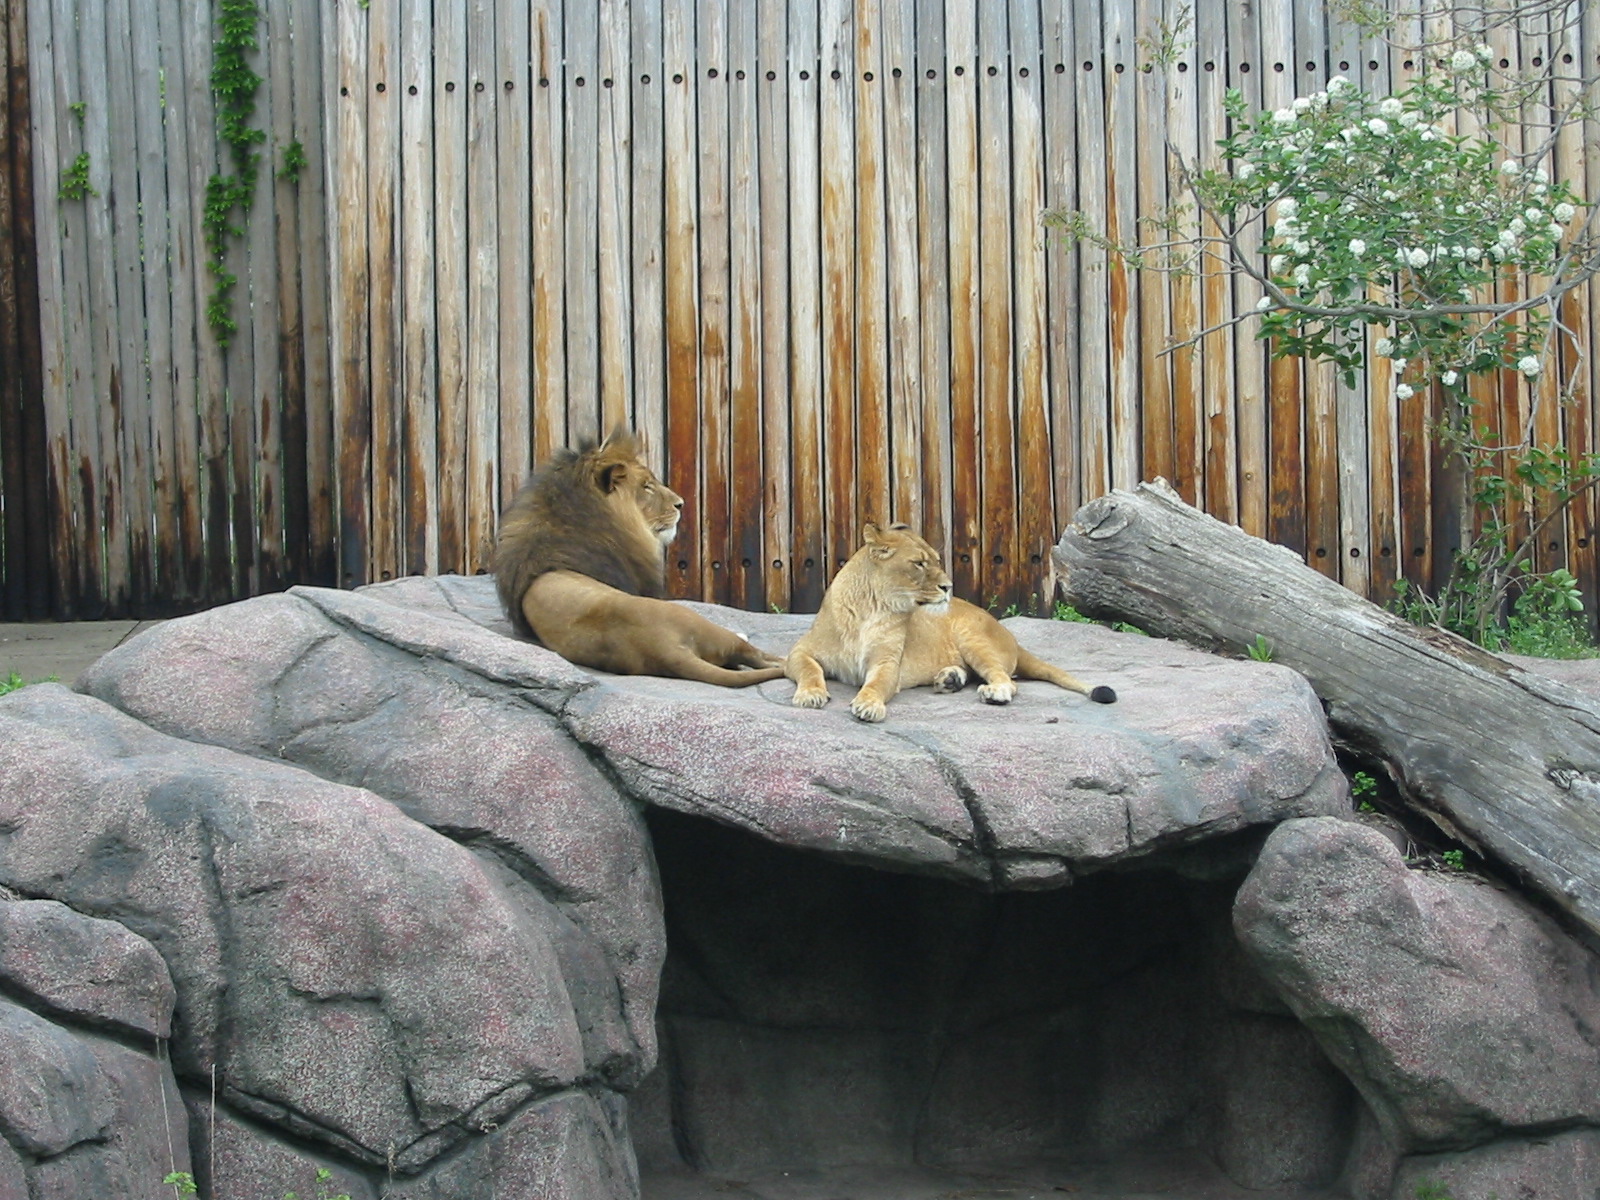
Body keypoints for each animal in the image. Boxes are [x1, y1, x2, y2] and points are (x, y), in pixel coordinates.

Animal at [784, 522, 1117, 722]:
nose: (948, 587)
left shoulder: (888, 663)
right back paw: (950, 679)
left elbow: (876, 684)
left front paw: (868, 704)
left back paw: (993, 692)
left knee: (1007, 680)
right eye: (919, 563)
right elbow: (810, 670)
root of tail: (1012, 638)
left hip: (971, 635)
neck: (871, 607)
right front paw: (811, 694)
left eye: (935, 560)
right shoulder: (799, 652)